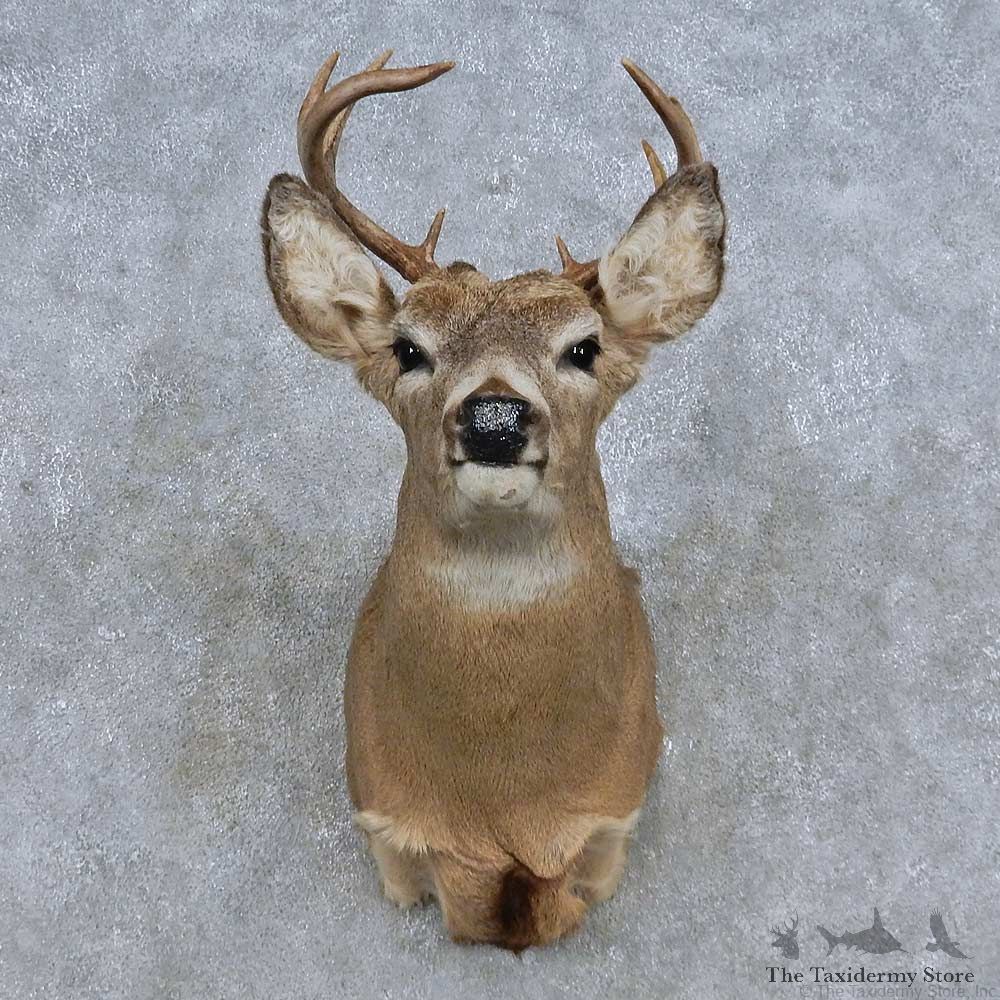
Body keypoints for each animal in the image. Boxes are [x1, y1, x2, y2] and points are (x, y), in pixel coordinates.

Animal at [259, 48, 725, 952]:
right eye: (409, 348)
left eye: (584, 347)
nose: (495, 418)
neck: (505, 802)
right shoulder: (381, 812)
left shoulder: (617, 807)